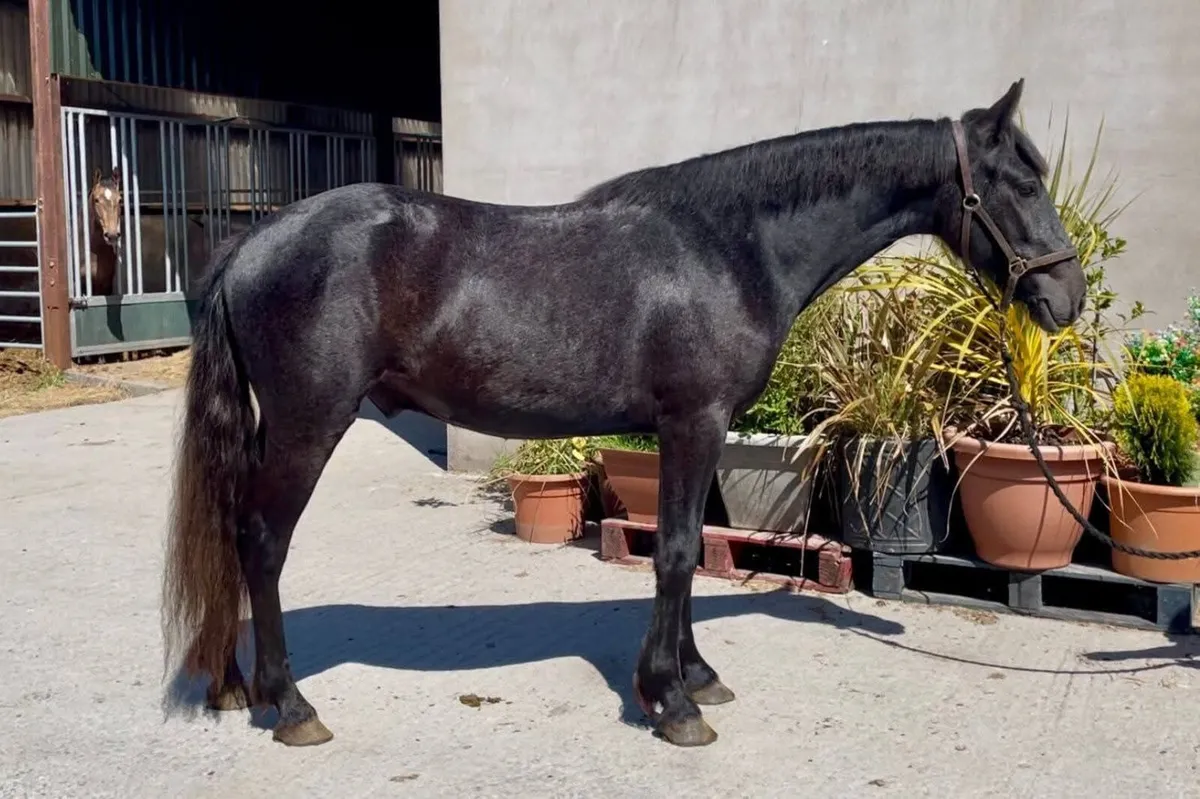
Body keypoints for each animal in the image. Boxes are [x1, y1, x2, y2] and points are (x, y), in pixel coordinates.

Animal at [161, 78, 1087, 749]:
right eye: (1019, 180)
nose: (1067, 296)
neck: (730, 243)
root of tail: (253, 241)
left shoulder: (703, 431)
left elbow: (688, 552)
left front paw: (695, 673)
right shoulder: (693, 421)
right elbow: (674, 554)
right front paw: (672, 701)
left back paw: (238, 684)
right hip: (309, 424)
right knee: (262, 541)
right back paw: (289, 705)